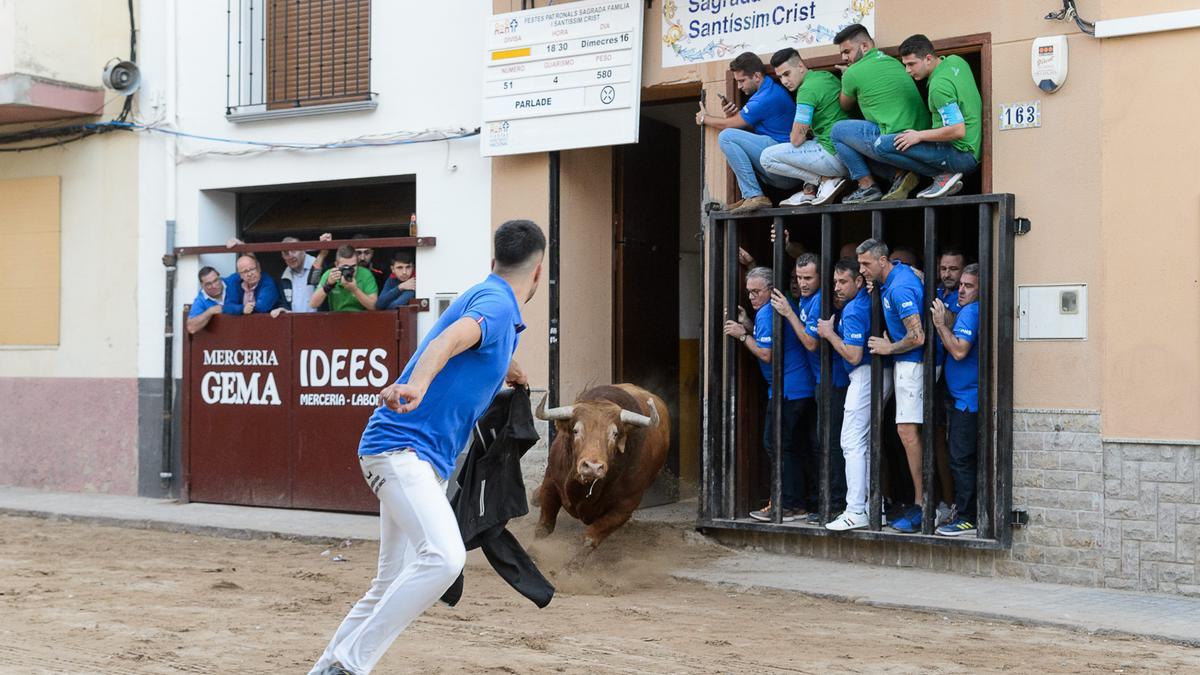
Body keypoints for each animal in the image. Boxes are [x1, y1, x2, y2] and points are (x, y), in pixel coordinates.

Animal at [532, 384, 672, 547]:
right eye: (575, 430)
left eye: (615, 434)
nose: (592, 467)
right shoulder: (550, 481)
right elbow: (543, 528)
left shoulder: (626, 505)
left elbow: (590, 538)